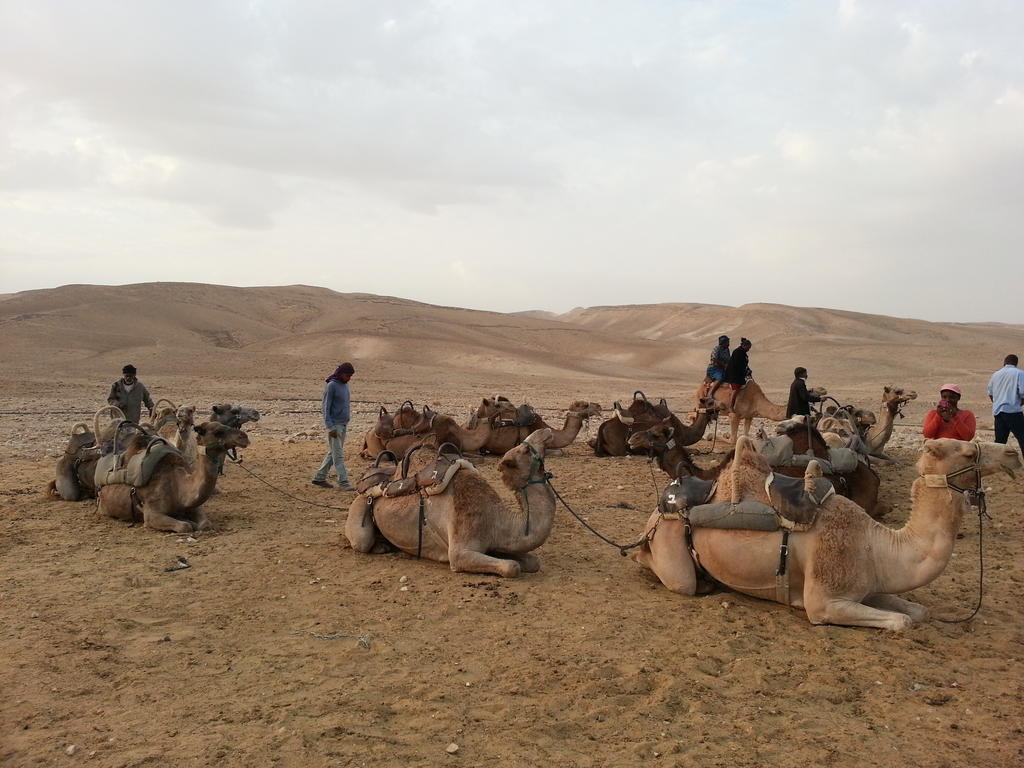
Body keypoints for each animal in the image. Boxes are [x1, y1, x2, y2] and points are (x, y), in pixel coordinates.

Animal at [344, 428, 557, 577]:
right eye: (525, 449)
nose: (546, 431)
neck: (496, 519)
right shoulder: (459, 552)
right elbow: (512, 567)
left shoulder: (495, 544)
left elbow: (532, 562)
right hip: (360, 505)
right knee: (360, 541)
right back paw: (379, 547)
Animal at [630, 438, 1015, 630]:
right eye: (969, 451)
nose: (1013, 453)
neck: (874, 544)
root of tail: (660, 506)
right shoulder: (825, 601)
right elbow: (903, 621)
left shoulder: (868, 585)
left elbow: (917, 612)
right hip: (670, 549)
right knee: (672, 576)